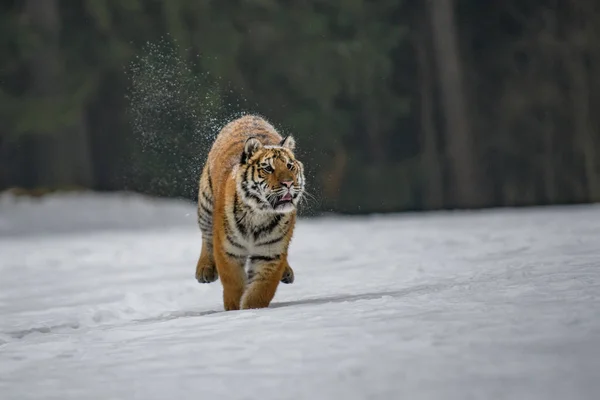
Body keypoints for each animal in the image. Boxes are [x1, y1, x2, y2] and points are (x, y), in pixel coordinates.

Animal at [196, 114, 304, 310]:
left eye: (290, 166)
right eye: (268, 168)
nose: (289, 183)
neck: (259, 214)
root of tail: (249, 116)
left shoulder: (270, 253)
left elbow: (260, 291)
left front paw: (250, 310)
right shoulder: (228, 250)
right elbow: (234, 284)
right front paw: (234, 309)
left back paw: (286, 273)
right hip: (206, 203)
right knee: (206, 236)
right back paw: (204, 270)